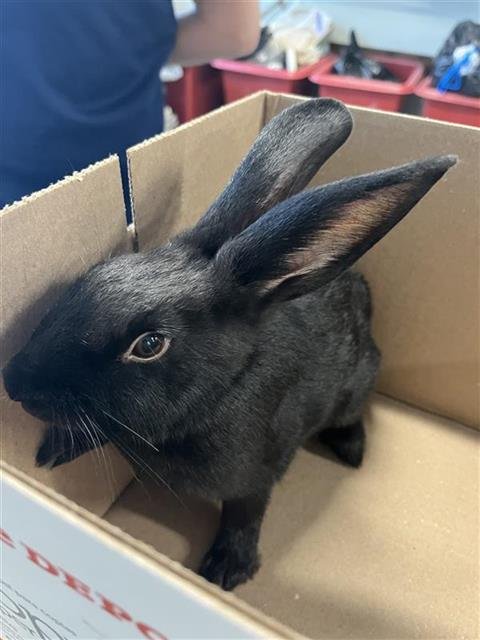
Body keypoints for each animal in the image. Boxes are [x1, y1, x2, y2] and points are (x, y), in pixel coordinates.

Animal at [3, 98, 456, 591]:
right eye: (93, 276)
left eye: (149, 344)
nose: (14, 382)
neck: (219, 391)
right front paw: (53, 450)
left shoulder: (256, 477)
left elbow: (245, 513)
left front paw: (226, 570)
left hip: (357, 383)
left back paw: (352, 450)